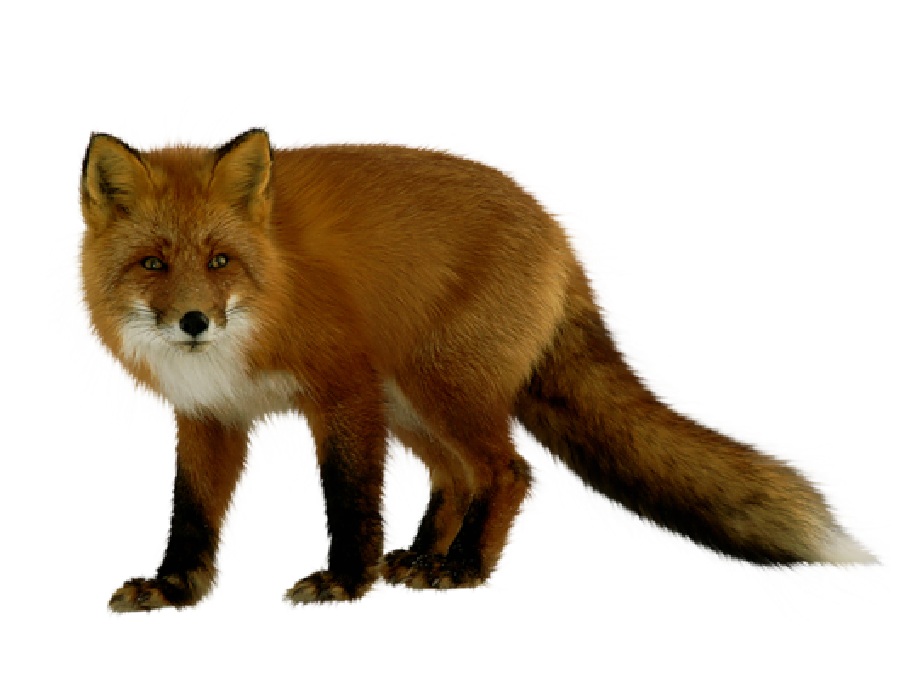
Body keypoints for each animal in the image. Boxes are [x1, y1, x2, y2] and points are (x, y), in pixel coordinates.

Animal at [80, 129, 875, 612]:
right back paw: (424, 558)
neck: (272, 288)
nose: (195, 321)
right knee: (456, 476)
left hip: (438, 389)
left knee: (505, 472)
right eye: (152, 263)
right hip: (414, 403)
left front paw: (345, 580)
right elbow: (192, 512)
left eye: (220, 261)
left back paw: (462, 569)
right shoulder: (211, 414)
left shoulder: (343, 392)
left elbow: (349, 499)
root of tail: (556, 232)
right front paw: (173, 586)